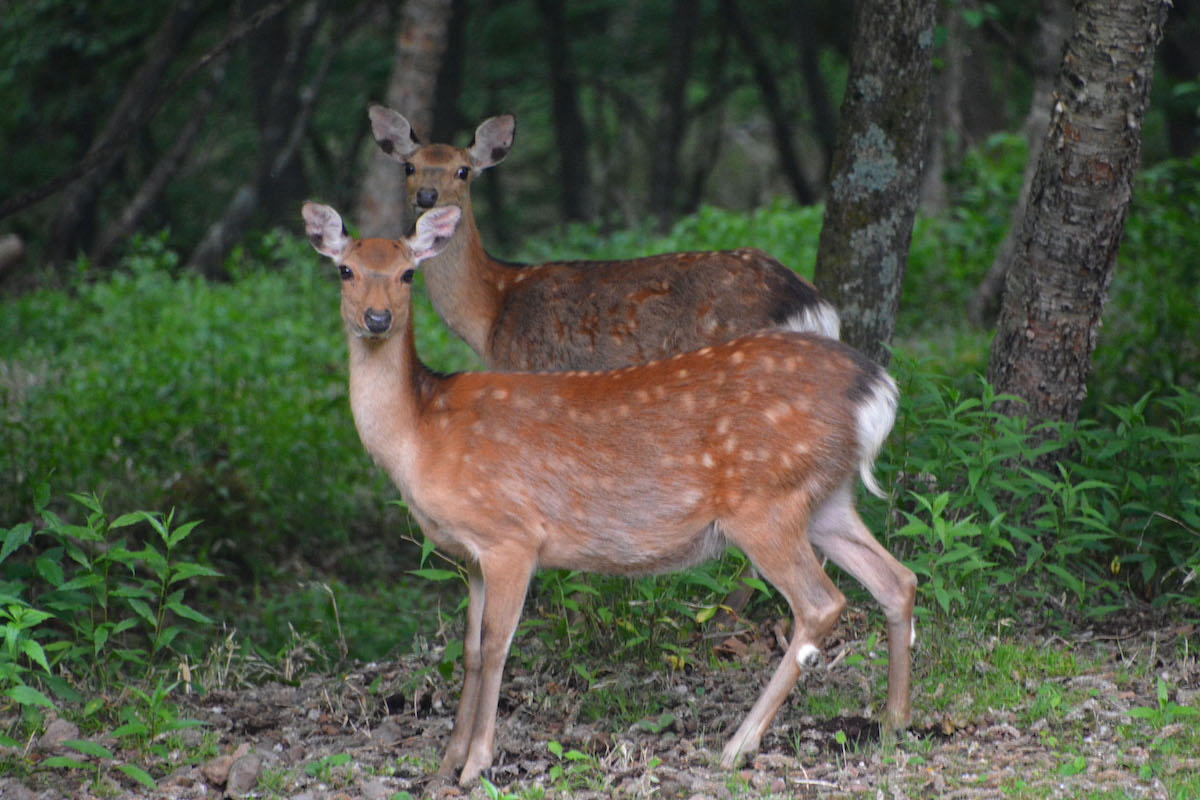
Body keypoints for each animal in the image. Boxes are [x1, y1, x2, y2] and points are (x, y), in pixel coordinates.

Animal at [304, 200, 912, 786]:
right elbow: (471, 649)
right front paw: (445, 763)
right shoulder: (470, 556)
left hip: (765, 502)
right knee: (897, 579)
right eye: (345, 270)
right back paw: (892, 724)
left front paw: (476, 763)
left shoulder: (511, 536)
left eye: (407, 272)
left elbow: (499, 645)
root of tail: (878, 391)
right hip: (824, 500)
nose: (376, 318)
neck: (421, 432)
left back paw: (738, 745)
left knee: (821, 602)